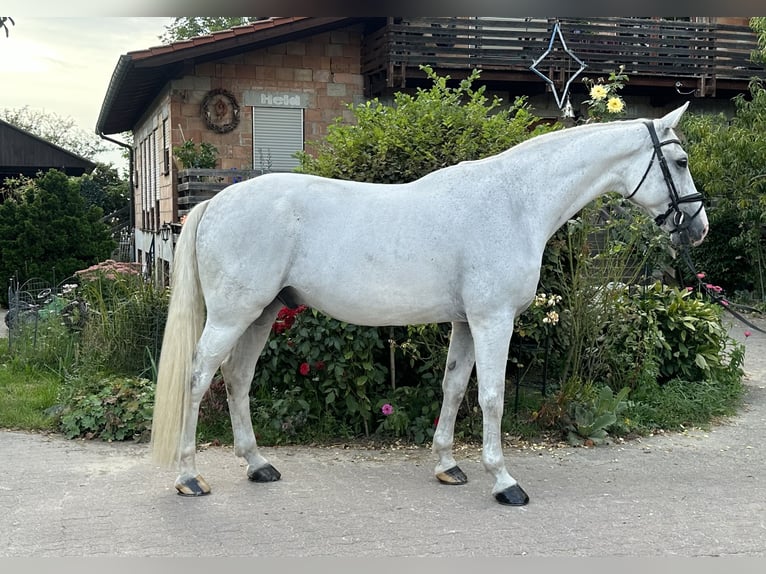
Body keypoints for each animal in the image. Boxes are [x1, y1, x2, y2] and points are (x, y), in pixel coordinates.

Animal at [153, 104, 712, 508]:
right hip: (233, 315)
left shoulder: (467, 322)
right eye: (681, 162)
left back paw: (257, 465)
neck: (514, 202)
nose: (699, 228)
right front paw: (504, 481)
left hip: (264, 313)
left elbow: (453, 387)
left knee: (238, 379)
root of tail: (215, 202)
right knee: (198, 379)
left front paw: (448, 466)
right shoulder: (492, 320)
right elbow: (491, 397)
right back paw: (189, 477)